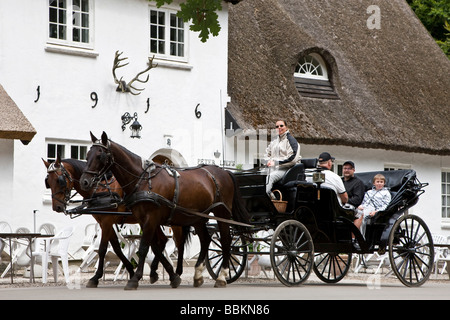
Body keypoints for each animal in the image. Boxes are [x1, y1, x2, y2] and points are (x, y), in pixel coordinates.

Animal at [43, 154, 189, 286]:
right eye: (48, 182)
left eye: (60, 180)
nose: (57, 207)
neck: (99, 188)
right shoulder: (105, 222)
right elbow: (116, 248)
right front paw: (130, 270)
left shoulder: (107, 221)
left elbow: (102, 249)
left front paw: (96, 277)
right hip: (153, 221)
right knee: (162, 241)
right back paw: (155, 271)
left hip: (173, 221)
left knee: (179, 243)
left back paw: (177, 271)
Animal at [80, 132, 250, 290]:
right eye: (87, 155)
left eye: (100, 156)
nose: (84, 182)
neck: (143, 180)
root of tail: (224, 172)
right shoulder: (142, 219)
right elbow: (154, 246)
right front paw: (170, 275)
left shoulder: (149, 218)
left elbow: (143, 248)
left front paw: (135, 278)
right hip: (197, 217)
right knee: (205, 240)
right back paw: (197, 274)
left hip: (222, 213)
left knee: (226, 241)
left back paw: (221, 276)